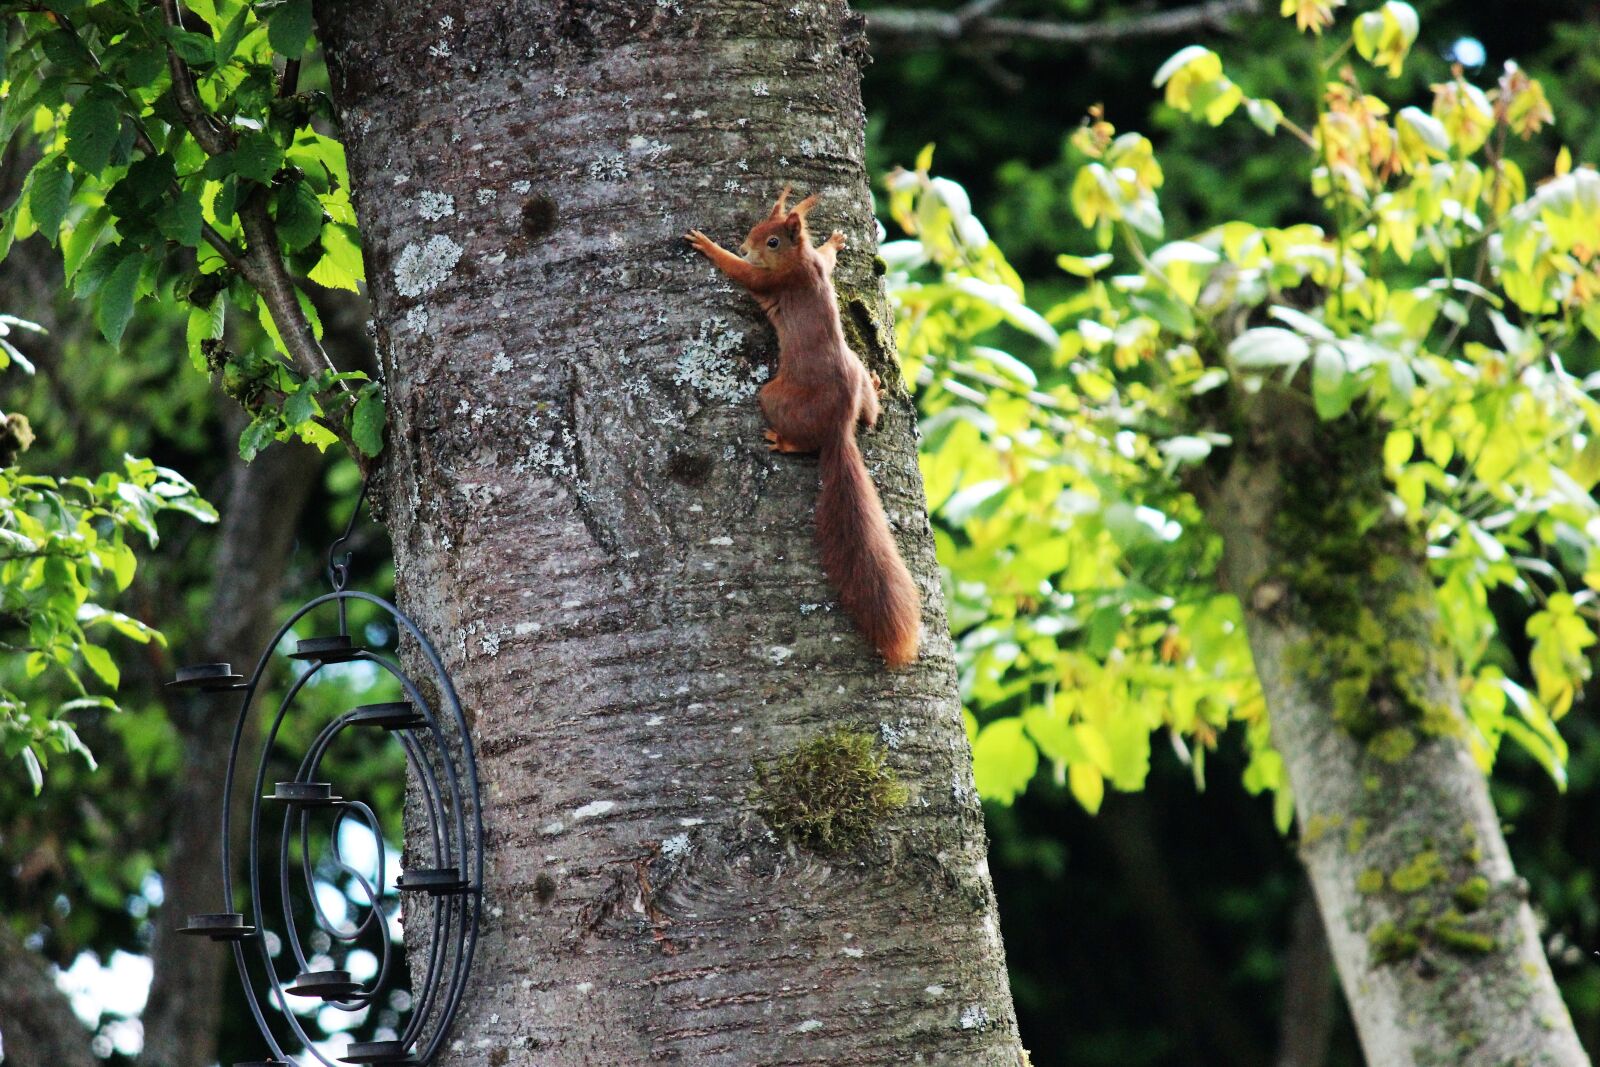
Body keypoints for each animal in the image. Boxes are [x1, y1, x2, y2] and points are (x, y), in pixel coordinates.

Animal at [685, 186, 922, 667]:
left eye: (772, 241)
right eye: (758, 228)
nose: (746, 246)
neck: (800, 262)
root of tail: (839, 428)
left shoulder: (771, 282)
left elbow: (742, 275)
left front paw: (710, 246)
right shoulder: (815, 266)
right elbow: (828, 260)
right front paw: (834, 241)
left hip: (772, 397)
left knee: (799, 440)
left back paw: (784, 441)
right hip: (858, 389)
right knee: (871, 415)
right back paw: (874, 389)